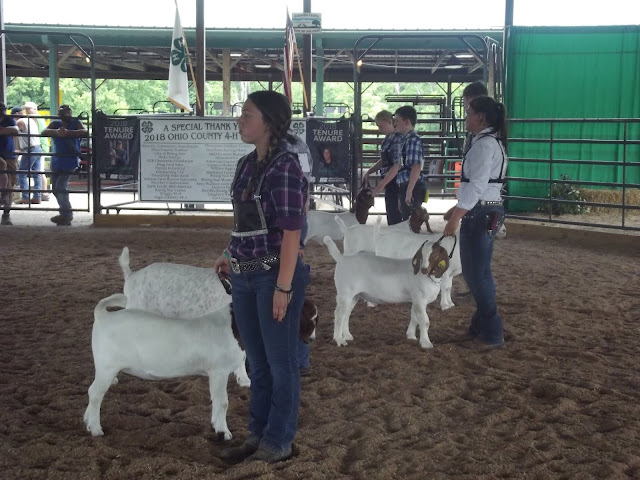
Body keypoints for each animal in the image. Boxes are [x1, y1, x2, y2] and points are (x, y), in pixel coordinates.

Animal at [84, 292, 246, 438]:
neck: (230, 328)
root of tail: (103, 316)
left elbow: (215, 400)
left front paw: (215, 425)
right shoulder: (219, 370)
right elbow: (223, 402)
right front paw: (223, 432)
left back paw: (87, 422)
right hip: (106, 366)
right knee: (95, 393)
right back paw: (96, 429)